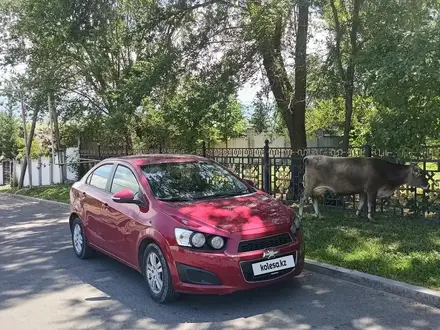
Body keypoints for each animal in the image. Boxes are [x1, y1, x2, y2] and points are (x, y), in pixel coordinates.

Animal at [298, 155, 428, 222]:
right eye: (420, 174)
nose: (427, 184)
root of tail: (309, 157)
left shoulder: (362, 191)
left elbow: (361, 203)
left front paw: (357, 214)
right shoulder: (372, 189)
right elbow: (370, 204)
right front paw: (371, 217)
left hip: (316, 189)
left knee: (314, 199)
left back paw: (319, 215)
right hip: (309, 185)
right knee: (302, 199)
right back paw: (300, 216)